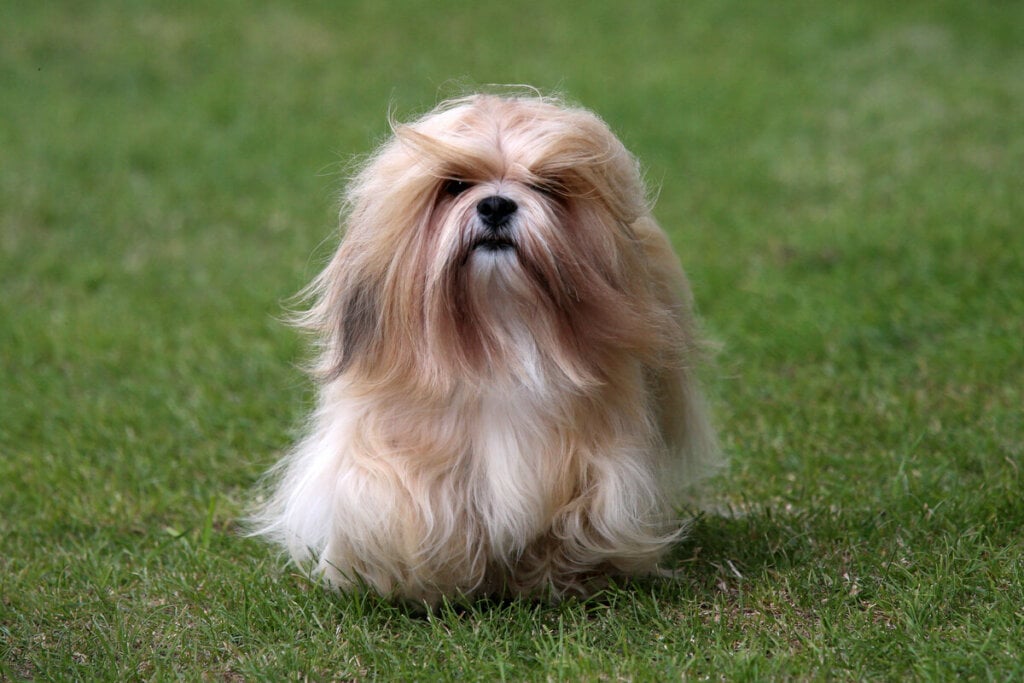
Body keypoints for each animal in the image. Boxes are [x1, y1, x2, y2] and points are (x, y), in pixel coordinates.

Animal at [252, 92, 720, 602]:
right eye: (455, 185)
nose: (496, 205)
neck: (499, 335)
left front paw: (557, 577)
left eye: (547, 186)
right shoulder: (398, 461)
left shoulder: (595, 466)